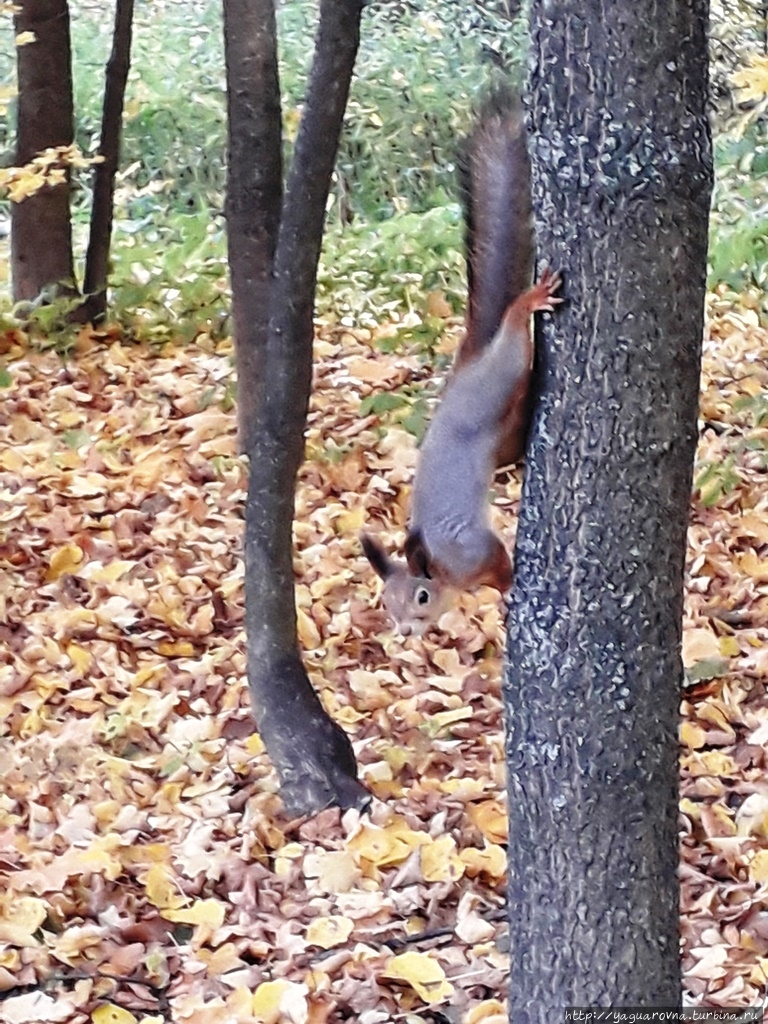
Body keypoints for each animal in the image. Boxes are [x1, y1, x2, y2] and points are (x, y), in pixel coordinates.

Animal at [360, 94, 565, 630]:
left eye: (421, 597)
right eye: (385, 602)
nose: (403, 632)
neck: (447, 573)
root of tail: (470, 364)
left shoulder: (473, 547)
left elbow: (498, 561)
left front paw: (509, 588)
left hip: (500, 375)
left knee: (515, 337)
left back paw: (528, 303)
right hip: (505, 432)